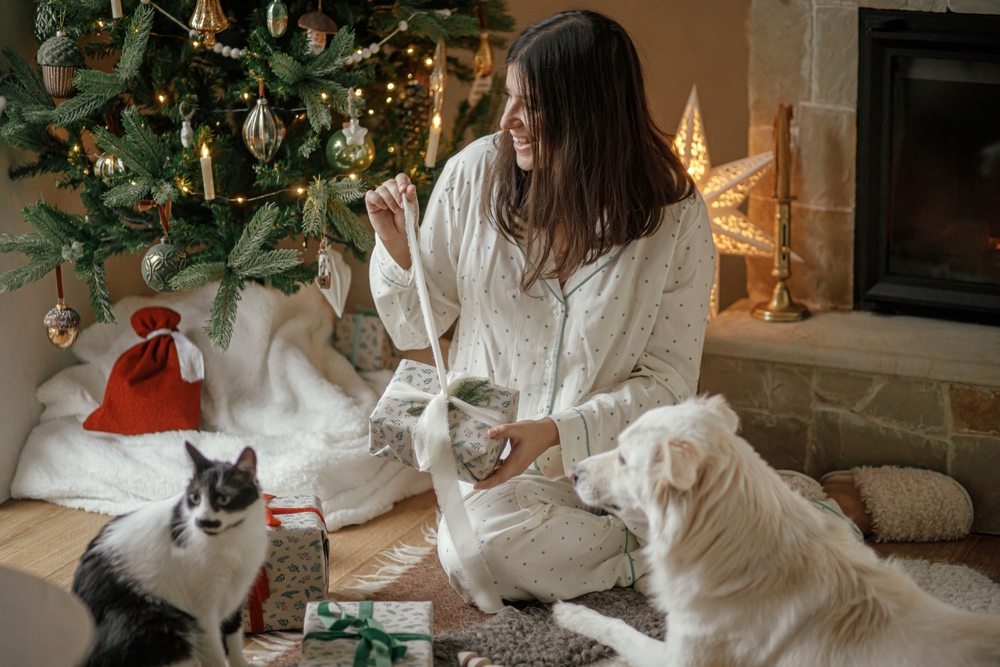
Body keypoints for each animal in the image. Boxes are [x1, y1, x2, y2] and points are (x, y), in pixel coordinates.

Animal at [73, 444, 268, 667]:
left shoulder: (235, 593)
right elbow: (216, 655)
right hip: (165, 625)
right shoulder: (203, 612)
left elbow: (234, 640)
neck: (233, 539)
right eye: (194, 498)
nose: (201, 520)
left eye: (223, 498)